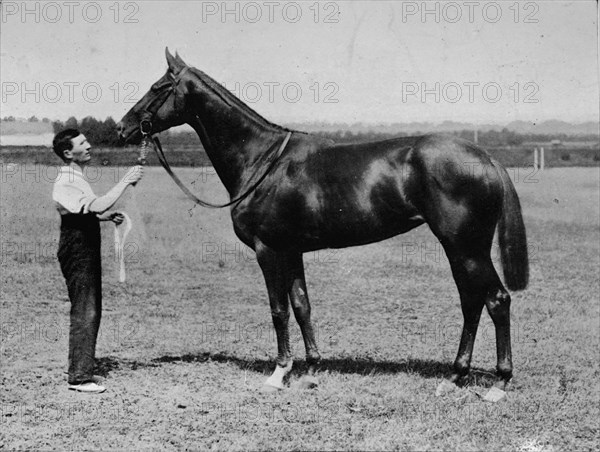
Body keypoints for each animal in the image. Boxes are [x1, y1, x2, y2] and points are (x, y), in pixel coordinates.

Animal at [117, 47, 528, 398]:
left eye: (158, 88)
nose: (123, 128)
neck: (262, 160)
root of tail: (486, 158)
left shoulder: (268, 250)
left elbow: (278, 310)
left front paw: (279, 372)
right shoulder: (292, 250)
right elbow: (302, 306)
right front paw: (312, 369)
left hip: (466, 247)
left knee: (495, 299)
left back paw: (498, 383)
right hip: (460, 249)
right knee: (472, 302)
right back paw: (455, 377)